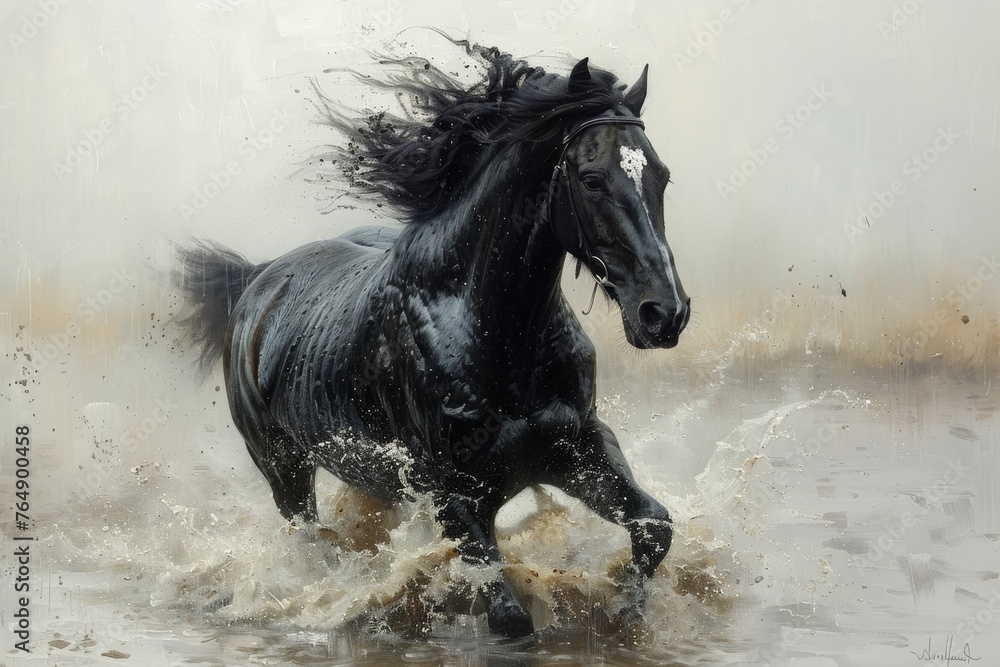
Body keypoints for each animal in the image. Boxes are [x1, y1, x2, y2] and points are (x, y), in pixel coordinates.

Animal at [175, 47, 690, 638]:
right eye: (591, 179)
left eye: (662, 176)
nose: (665, 314)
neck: (495, 333)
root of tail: (257, 282)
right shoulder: (455, 497)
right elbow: (510, 618)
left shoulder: (579, 448)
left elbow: (655, 526)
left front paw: (625, 608)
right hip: (283, 470)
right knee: (307, 539)